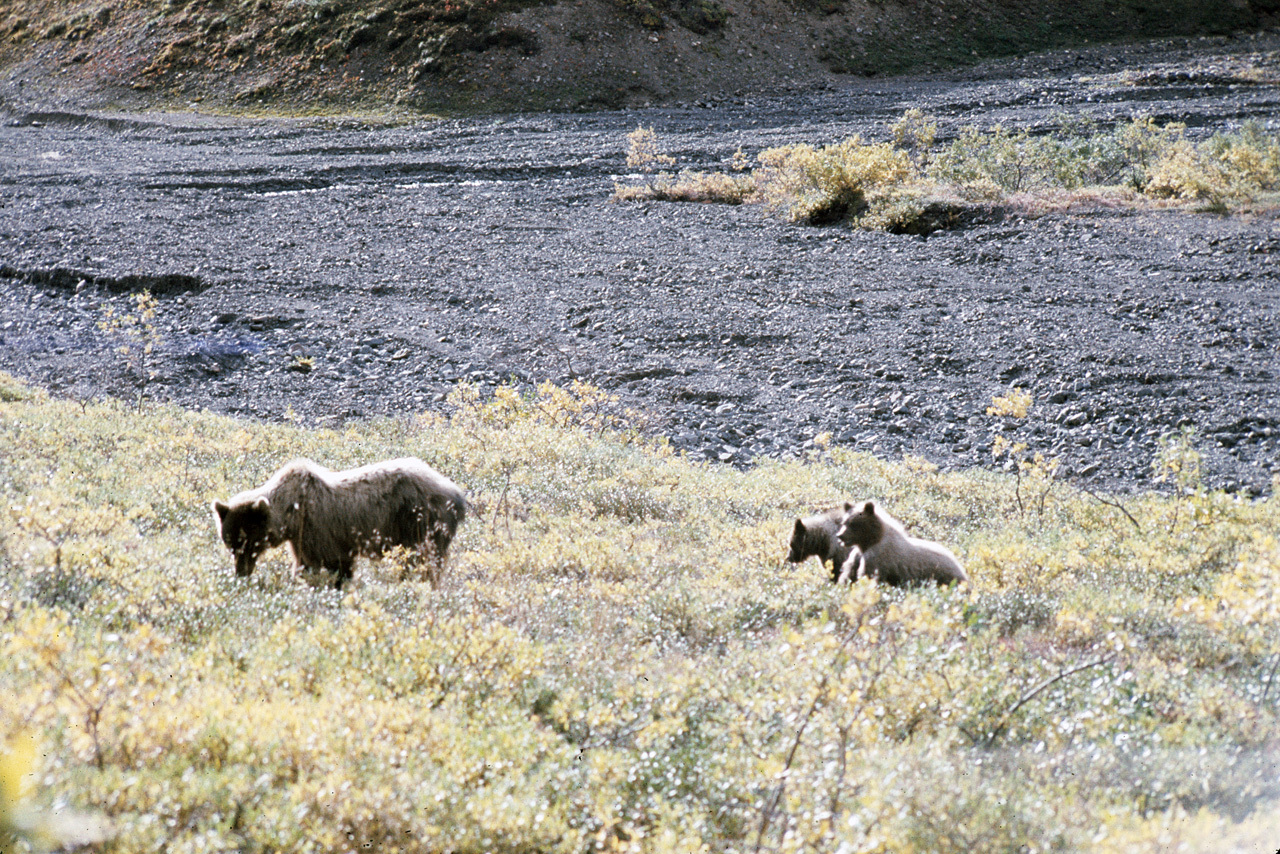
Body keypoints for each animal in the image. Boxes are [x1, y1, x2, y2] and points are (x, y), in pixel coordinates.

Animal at [212, 458, 468, 591]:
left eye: (247, 540)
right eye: (229, 542)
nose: (241, 572)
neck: (292, 513)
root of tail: (456, 493)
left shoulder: (320, 530)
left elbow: (336, 566)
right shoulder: (302, 539)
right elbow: (305, 565)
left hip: (418, 522)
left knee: (423, 560)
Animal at [834, 501, 962, 588]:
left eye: (854, 524)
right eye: (844, 522)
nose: (840, 535)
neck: (869, 542)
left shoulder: (877, 557)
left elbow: (868, 575)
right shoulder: (857, 556)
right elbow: (849, 573)